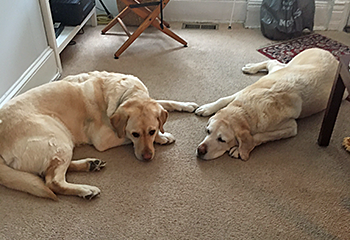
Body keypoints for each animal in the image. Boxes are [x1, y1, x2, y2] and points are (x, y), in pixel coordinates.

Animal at [0, 71, 197, 199]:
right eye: (135, 134)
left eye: (151, 130)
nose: (147, 157)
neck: (126, 93)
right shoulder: (103, 139)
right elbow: (124, 136)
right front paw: (163, 137)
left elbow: (164, 102)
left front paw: (187, 105)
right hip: (57, 136)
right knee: (52, 181)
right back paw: (86, 190)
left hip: (61, 143)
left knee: (50, 171)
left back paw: (90, 164)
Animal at [196, 48, 338, 161]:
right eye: (208, 131)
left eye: (222, 140)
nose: (200, 150)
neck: (248, 110)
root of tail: (333, 56)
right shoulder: (242, 93)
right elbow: (223, 99)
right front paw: (207, 108)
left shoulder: (291, 127)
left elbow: (261, 136)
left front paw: (238, 149)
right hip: (284, 68)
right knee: (273, 61)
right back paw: (251, 68)